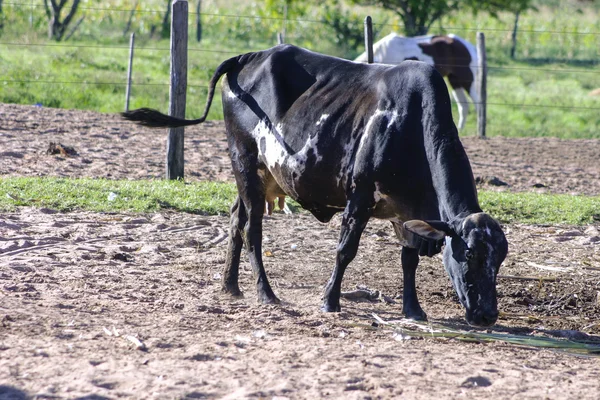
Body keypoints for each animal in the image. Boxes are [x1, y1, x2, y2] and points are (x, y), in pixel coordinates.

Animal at [124, 43, 508, 326]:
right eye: (469, 255)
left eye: (500, 259)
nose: (486, 315)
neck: (410, 125)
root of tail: (250, 56)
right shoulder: (359, 197)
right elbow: (345, 251)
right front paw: (329, 300)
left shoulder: (410, 211)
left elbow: (408, 258)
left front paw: (413, 310)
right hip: (243, 158)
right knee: (252, 230)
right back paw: (265, 293)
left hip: (255, 174)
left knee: (236, 220)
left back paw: (230, 285)